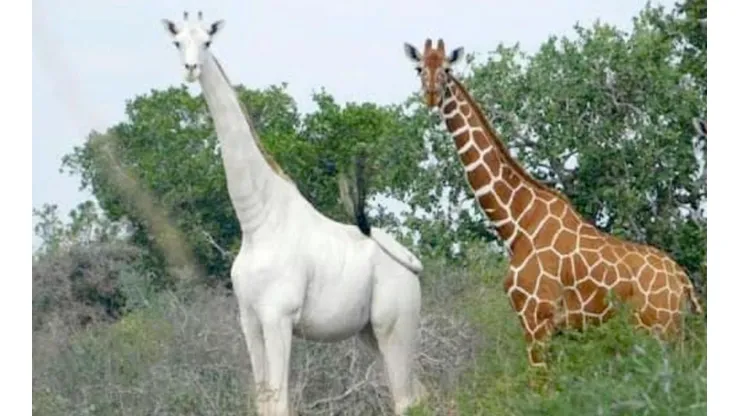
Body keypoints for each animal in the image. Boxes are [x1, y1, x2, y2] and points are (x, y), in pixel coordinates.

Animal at [160, 12, 427, 415]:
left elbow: (281, 401)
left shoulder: (279, 316)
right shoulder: (249, 320)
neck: (257, 222)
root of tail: (413, 264)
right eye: (178, 42)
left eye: (207, 42)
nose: (191, 69)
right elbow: (263, 400)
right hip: (368, 332)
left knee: (406, 399)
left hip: (394, 325)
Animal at [402, 38, 704, 368]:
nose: (431, 94)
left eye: (447, 69)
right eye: (419, 68)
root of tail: (683, 282)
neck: (516, 223)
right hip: (672, 333)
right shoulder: (556, 329)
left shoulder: (536, 319)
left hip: (659, 332)